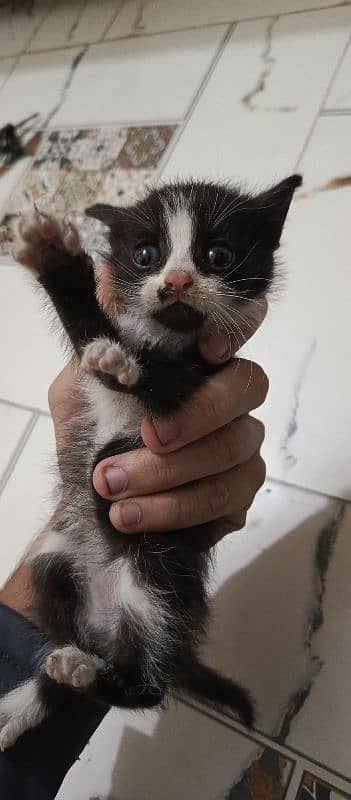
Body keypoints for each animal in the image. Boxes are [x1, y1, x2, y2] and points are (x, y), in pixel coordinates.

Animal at [0, 175, 302, 752]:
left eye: (217, 254)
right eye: (146, 255)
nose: (178, 281)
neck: (165, 337)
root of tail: (106, 626)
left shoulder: (201, 379)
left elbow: (153, 380)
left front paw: (121, 363)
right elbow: (87, 335)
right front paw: (53, 259)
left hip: (157, 580)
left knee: (149, 686)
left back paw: (89, 675)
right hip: (52, 562)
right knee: (63, 639)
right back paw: (37, 694)